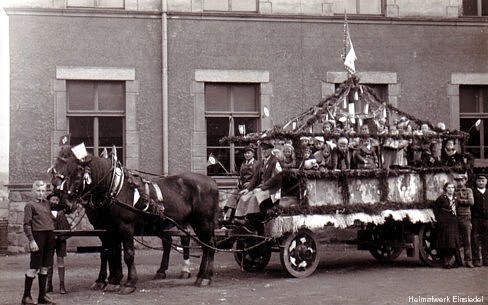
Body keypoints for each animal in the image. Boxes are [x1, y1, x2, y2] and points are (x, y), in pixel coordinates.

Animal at [50, 146, 217, 294]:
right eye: (58, 172)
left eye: (78, 176)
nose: (65, 204)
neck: (114, 188)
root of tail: (212, 181)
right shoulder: (107, 229)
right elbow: (109, 252)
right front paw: (112, 280)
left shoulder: (125, 227)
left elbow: (128, 254)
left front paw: (129, 283)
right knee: (197, 245)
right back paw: (191, 274)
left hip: (203, 222)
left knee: (208, 245)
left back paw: (204, 277)